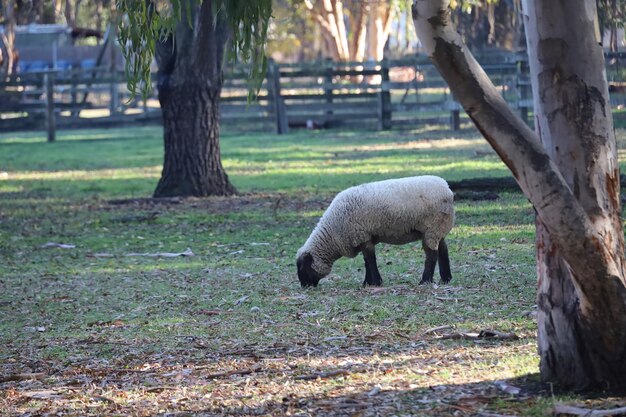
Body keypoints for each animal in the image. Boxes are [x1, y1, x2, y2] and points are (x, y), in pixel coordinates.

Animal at [294, 175, 450, 286]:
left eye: (301, 267)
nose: (304, 286)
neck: (333, 234)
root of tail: (447, 188)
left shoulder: (361, 235)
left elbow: (370, 259)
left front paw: (375, 282)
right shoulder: (363, 237)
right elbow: (366, 260)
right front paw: (367, 282)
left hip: (432, 227)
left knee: (432, 255)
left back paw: (425, 281)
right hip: (438, 228)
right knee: (443, 250)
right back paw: (445, 279)